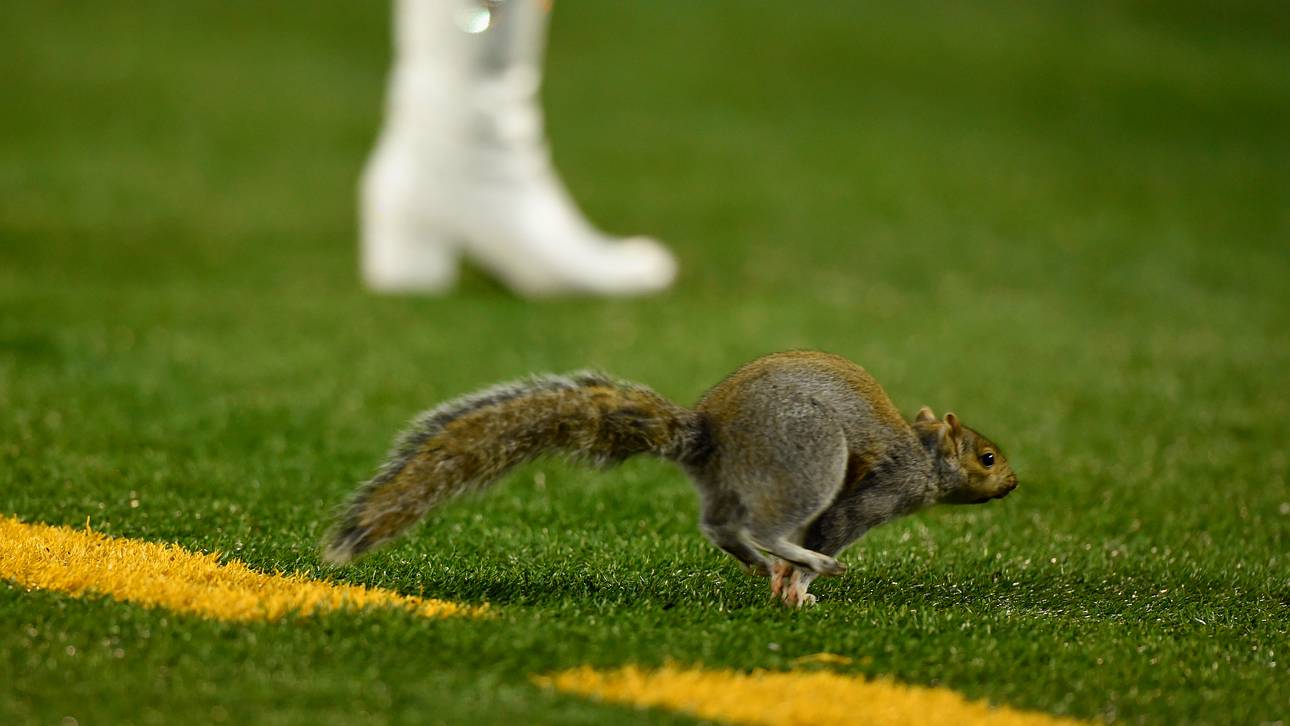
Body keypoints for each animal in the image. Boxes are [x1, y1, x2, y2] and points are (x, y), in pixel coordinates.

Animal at [322, 350, 1018, 607]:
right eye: (986, 457)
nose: (1012, 484)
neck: (924, 456)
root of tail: (708, 432)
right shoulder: (877, 491)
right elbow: (832, 529)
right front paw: (802, 584)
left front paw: (787, 583)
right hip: (807, 459)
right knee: (769, 524)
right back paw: (789, 559)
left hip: (731, 483)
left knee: (719, 527)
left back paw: (757, 564)